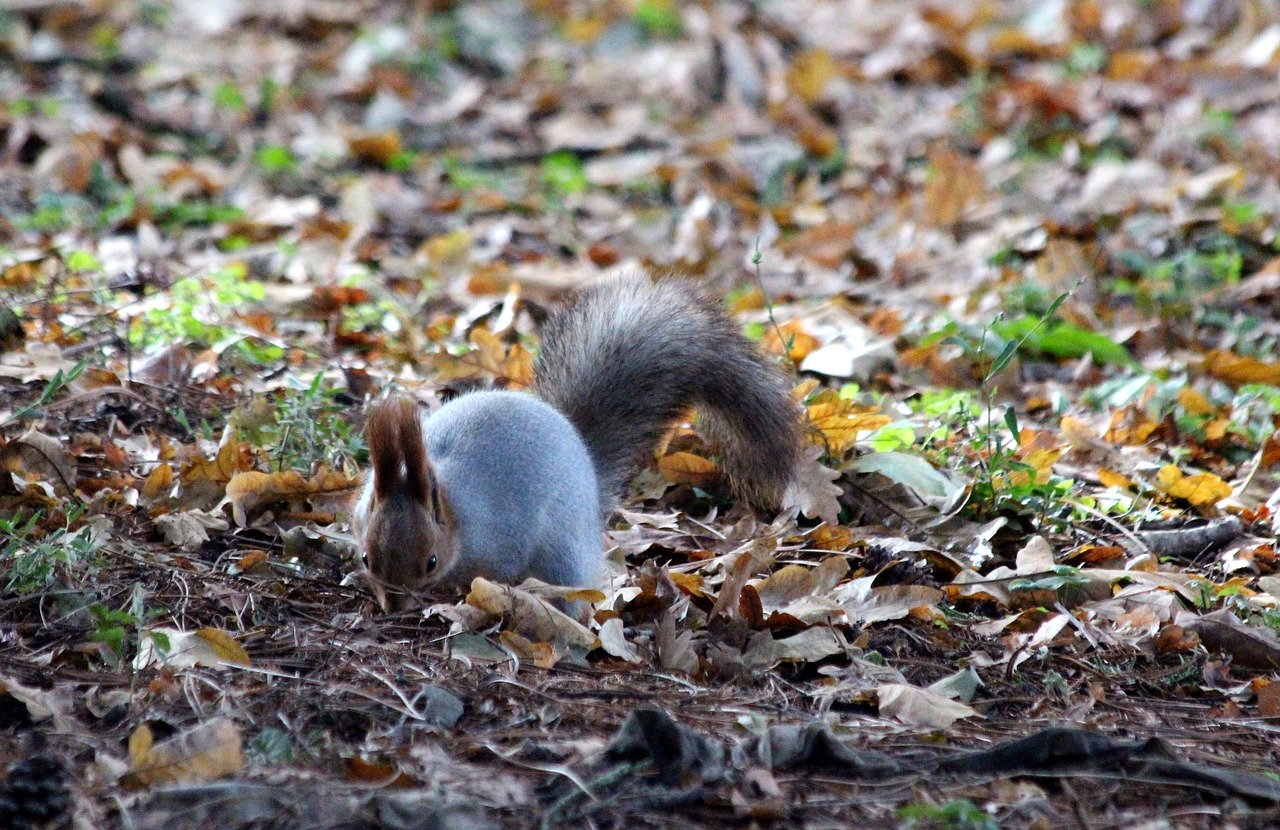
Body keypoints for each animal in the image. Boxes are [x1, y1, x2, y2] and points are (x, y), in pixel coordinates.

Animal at [353, 275, 798, 612]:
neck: (447, 497)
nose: (393, 606)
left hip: (560, 555)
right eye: (366, 557)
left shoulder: (501, 538)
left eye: (430, 562)